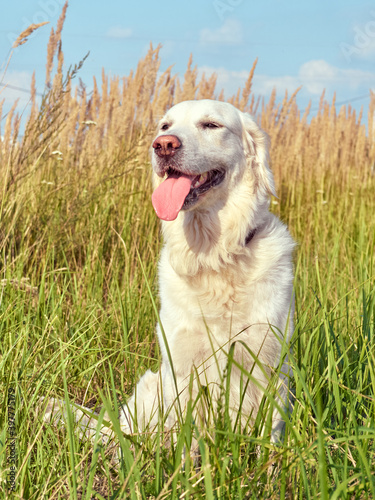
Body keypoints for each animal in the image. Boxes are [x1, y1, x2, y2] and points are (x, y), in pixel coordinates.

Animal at [44, 98, 296, 446]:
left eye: (211, 125)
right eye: (165, 126)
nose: (163, 145)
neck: (213, 257)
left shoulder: (270, 362)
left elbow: (268, 437)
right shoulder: (182, 367)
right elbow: (187, 439)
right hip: (151, 387)